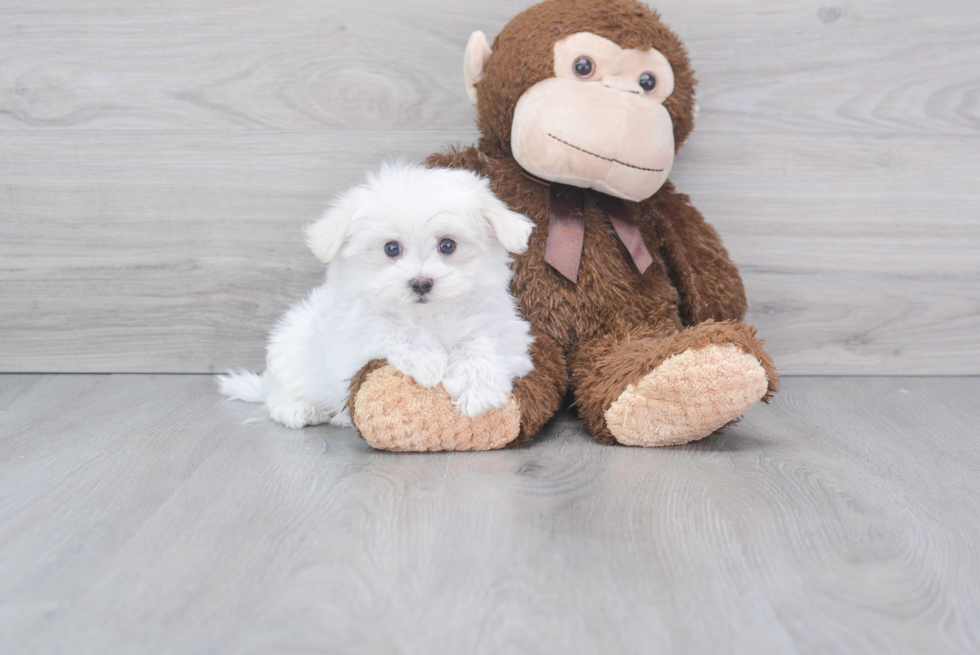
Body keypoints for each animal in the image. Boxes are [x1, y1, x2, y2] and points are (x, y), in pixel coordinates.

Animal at [219, 163, 536, 430]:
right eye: (391, 248)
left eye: (448, 245)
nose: (421, 283)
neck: (427, 316)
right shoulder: (349, 344)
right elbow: (385, 331)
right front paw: (429, 362)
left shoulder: (508, 337)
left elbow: (481, 343)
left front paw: (479, 390)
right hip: (289, 349)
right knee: (278, 395)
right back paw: (302, 409)